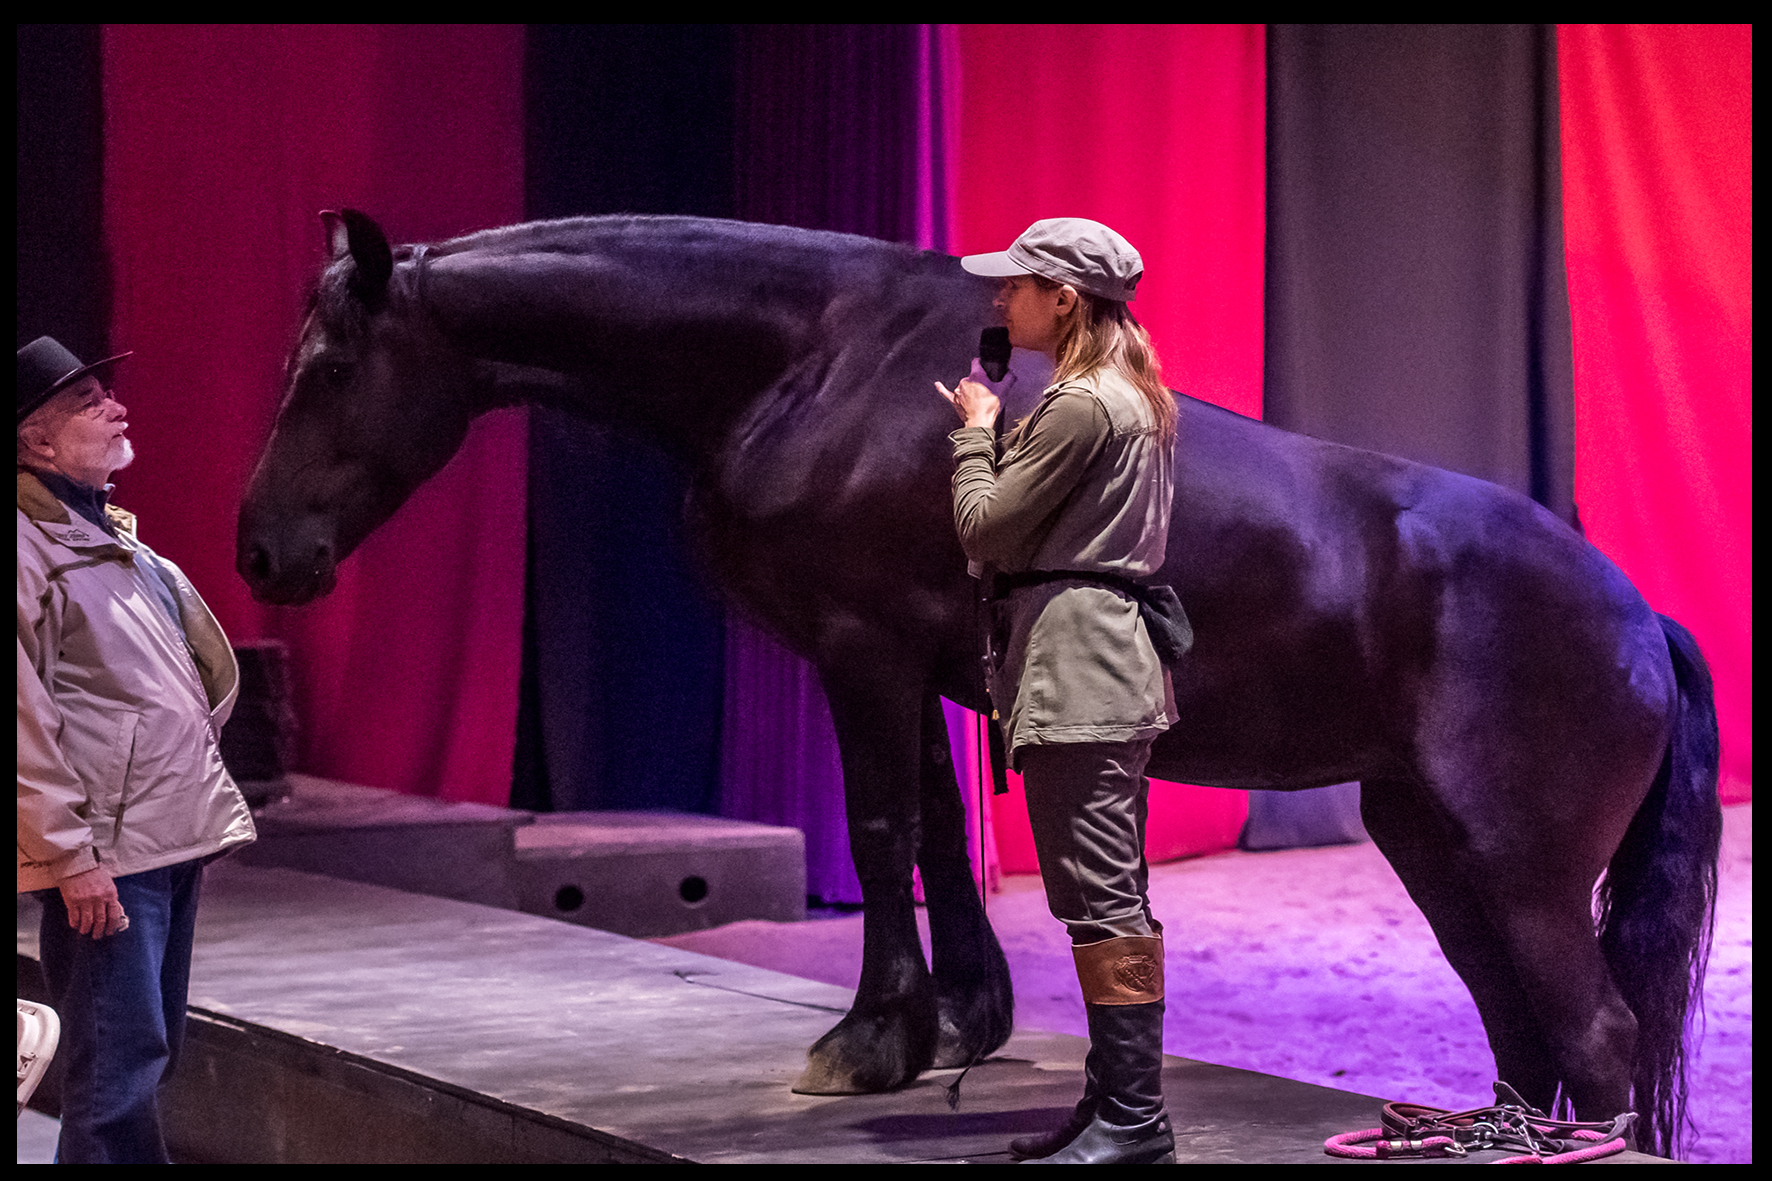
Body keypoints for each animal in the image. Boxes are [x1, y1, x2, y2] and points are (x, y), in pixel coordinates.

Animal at [235, 209, 1715, 1149]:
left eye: (329, 365)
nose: (260, 549)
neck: (812, 359)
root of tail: (1638, 613)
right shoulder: (924, 664)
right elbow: (943, 830)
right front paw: (961, 1019)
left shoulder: (861, 648)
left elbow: (884, 827)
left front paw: (874, 1036)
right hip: (1428, 842)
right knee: (1523, 1025)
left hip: (1515, 864)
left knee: (1590, 1031)